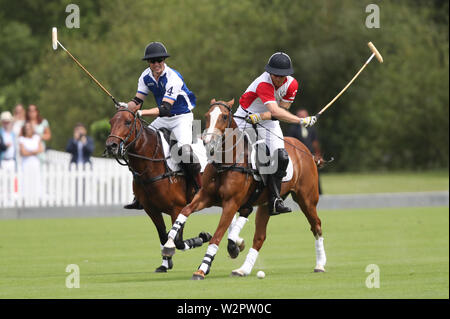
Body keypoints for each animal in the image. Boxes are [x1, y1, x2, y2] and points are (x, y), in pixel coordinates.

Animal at [105, 104, 211, 272]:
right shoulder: (151, 209)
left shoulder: (177, 208)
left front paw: (202, 237)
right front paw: (165, 264)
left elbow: (178, 240)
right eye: (111, 122)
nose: (111, 146)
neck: (152, 164)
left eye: (128, 122)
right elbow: (163, 235)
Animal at [163, 99, 326, 280]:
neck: (226, 162)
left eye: (224, 116)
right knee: (259, 237)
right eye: (207, 115)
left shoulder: (231, 203)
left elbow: (217, 236)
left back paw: (320, 264)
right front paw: (169, 244)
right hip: (266, 204)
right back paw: (243, 269)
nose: (208, 141)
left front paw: (202, 269)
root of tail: (305, 150)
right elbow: (185, 211)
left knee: (316, 226)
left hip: (307, 198)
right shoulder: (205, 196)